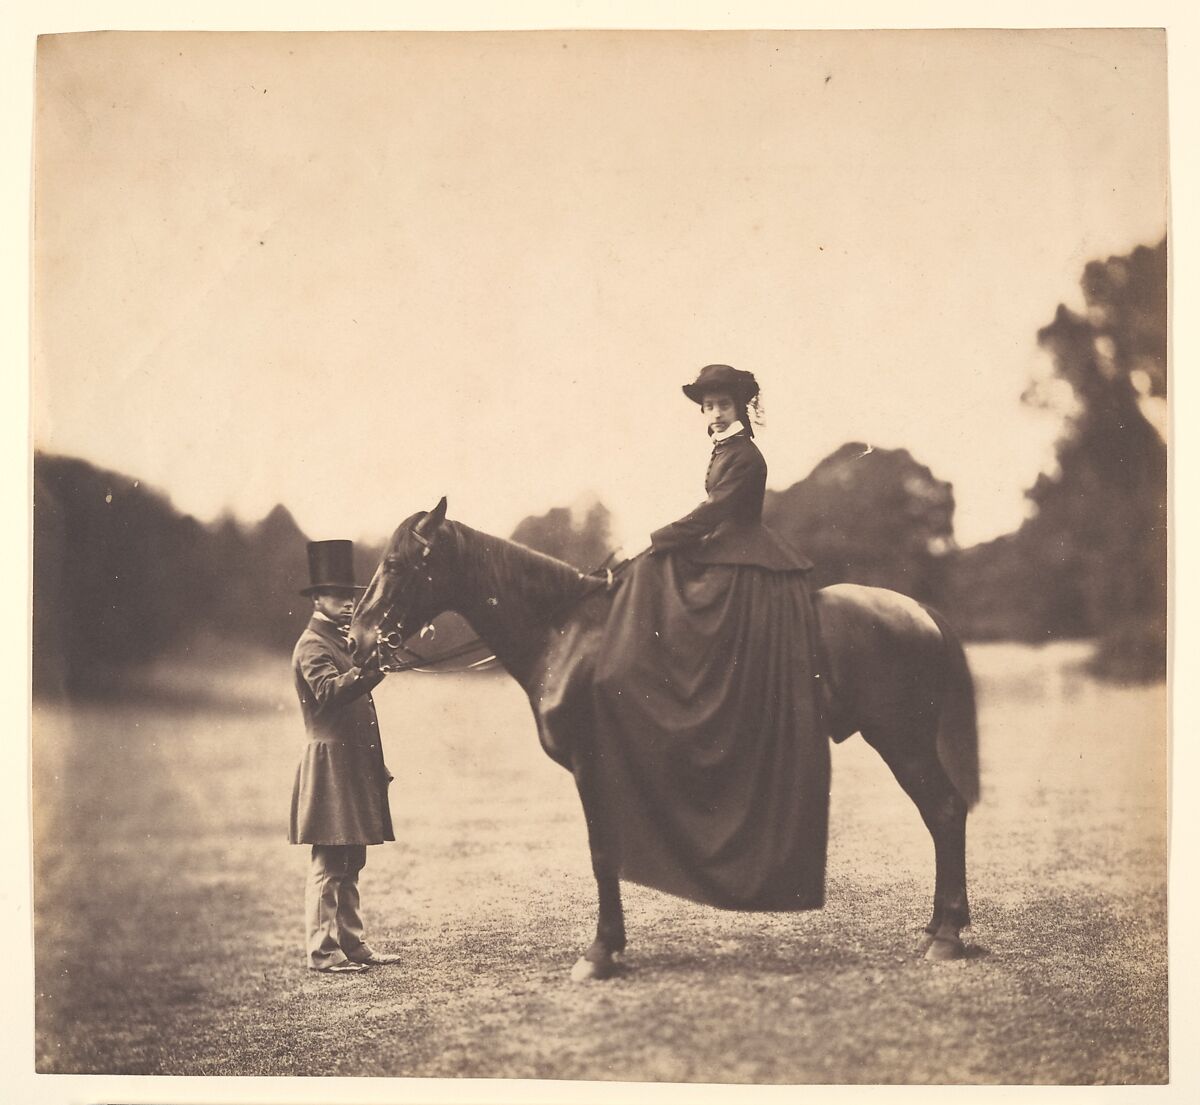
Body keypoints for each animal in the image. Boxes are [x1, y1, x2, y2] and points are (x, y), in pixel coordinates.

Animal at [345, 496, 974, 979]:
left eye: (396, 563)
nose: (357, 639)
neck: (569, 631)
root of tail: (918, 611)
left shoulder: (591, 765)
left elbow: (602, 854)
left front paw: (600, 954)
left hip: (902, 740)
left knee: (945, 811)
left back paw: (946, 936)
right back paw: (943, 926)